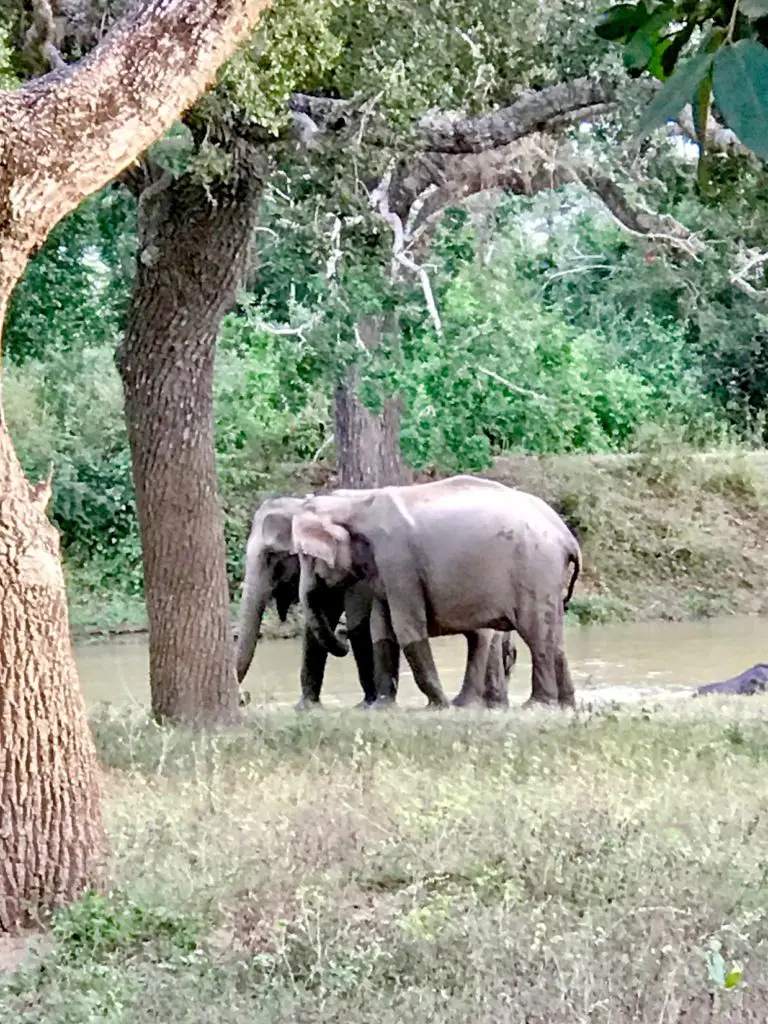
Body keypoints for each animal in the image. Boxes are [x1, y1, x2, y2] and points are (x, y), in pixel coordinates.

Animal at [237, 491, 520, 708]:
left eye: (272, 556)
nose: (244, 698)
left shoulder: (363, 578)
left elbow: (358, 625)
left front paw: (365, 704)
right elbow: (317, 628)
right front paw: (306, 708)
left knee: (481, 636)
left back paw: (467, 703)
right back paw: (495, 705)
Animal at [290, 473, 581, 708]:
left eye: (308, 556)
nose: (343, 643)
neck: (357, 505)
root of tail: (567, 536)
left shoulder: (398, 560)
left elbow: (407, 628)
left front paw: (440, 706)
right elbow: (382, 629)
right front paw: (382, 708)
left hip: (535, 567)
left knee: (537, 633)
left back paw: (536, 705)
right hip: (545, 575)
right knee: (554, 634)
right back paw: (565, 705)